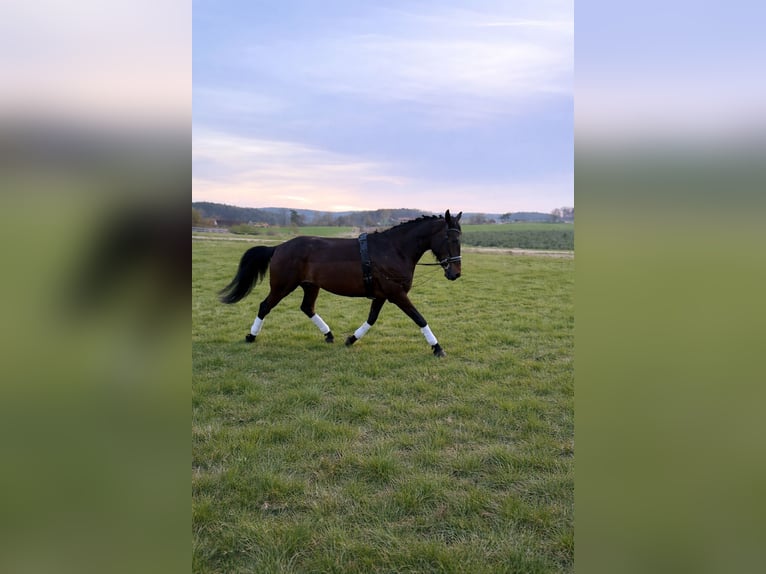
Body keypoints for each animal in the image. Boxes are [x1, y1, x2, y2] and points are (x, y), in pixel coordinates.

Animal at [218, 210, 462, 357]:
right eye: (450, 238)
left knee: (307, 308)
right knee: (265, 306)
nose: (456, 273)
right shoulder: (396, 294)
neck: (394, 249)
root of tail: (279, 247)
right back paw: (251, 336)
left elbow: (371, 319)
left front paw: (351, 339)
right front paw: (437, 348)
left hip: (310, 286)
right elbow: (419, 318)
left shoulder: (382, 295)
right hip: (282, 286)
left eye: (460, 238)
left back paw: (329, 335)